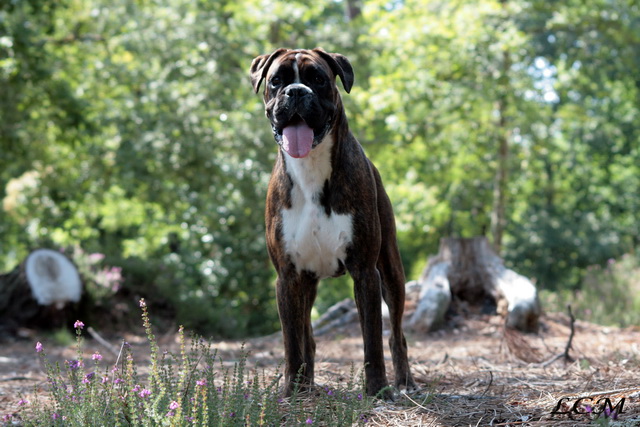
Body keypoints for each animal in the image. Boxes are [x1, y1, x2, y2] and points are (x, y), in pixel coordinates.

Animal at [250, 46, 416, 398]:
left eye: (318, 79)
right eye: (276, 81)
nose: (296, 92)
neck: (311, 169)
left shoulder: (366, 273)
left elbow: (372, 341)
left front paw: (377, 389)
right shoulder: (288, 277)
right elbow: (292, 342)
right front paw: (292, 390)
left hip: (392, 274)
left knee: (396, 334)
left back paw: (404, 382)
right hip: (306, 285)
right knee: (307, 337)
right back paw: (306, 383)